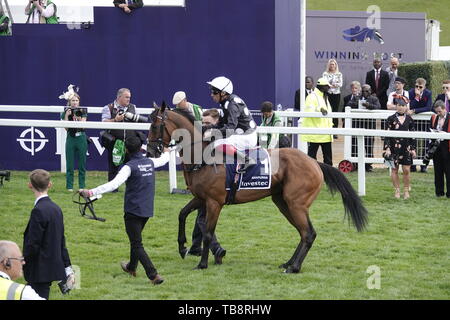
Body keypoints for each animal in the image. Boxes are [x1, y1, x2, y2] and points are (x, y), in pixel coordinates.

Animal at [149, 104, 368, 272]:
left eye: (156, 125)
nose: (151, 150)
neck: (202, 158)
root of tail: (315, 162)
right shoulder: (201, 198)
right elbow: (182, 214)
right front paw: (182, 246)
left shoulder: (214, 202)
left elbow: (208, 232)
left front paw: (203, 264)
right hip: (283, 202)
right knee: (302, 232)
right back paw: (289, 262)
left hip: (296, 203)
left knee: (308, 233)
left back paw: (294, 267)